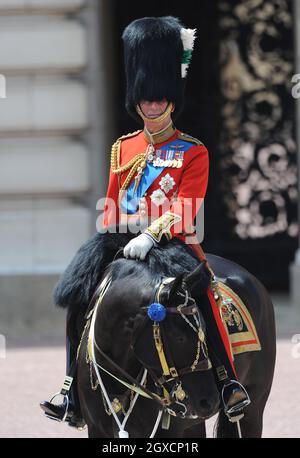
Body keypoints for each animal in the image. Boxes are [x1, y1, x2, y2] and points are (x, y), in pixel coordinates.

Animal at [54, 231, 276, 438]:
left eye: (206, 331)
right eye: (179, 337)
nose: (209, 401)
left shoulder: (166, 431)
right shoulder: (98, 429)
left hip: (253, 408)